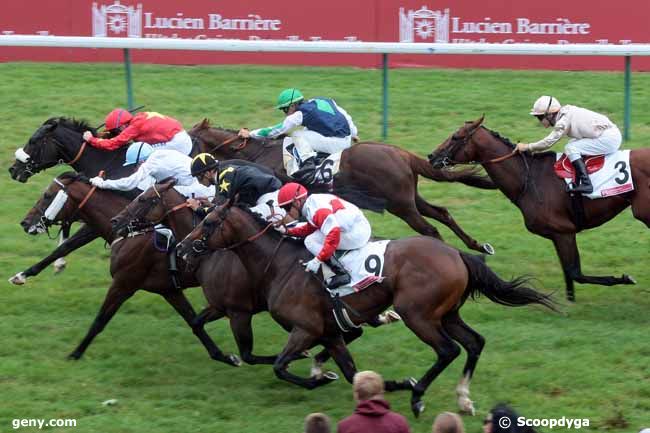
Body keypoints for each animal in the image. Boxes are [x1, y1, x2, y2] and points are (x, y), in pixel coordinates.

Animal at [20, 172, 239, 364]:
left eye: (47, 195)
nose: (25, 222)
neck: (134, 234)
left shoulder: (123, 283)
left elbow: (100, 320)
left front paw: (75, 353)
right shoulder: (169, 290)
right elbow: (194, 322)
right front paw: (224, 356)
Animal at [175, 198, 556, 416]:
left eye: (209, 222)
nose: (181, 248)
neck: (279, 265)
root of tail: (457, 254)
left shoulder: (305, 329)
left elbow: (282, 367)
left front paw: (317, 379)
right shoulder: (330, 333)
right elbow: (350, 372)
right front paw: (390, 384)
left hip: (418, 314)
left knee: (447, 350)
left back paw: (419, 397)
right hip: (448, 314)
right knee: (474, 343)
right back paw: (462, 397)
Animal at [189, 118, 496, 255]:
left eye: (189, 140)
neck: (260, 154)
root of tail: (402, 154)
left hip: (401, 204)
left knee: (429, 228)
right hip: (409, 198)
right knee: (442, 213)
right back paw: (478, 246)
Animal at [428, 116, 640, 302]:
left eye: (455, 137)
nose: (431, 156)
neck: (528, 179)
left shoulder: (564, 232)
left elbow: (575, 272)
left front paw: (623, 278)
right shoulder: (558, 235)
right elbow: (568, 272)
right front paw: (570, 301)